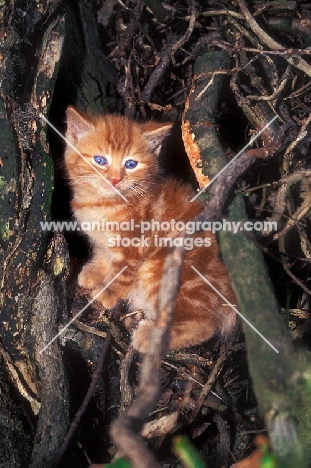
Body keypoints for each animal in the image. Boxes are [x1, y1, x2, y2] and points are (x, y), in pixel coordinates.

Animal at [64, 107, 238, 354]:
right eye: (100, 160)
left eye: (131, 164)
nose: (115, 179)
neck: (103, 203)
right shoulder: (104, 240)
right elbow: (104, 255)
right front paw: (95, 271)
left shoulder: (134, 245)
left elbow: (122, 272)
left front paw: (108, 292)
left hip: (158, 269)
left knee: (203, 325)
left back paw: (148, 336)